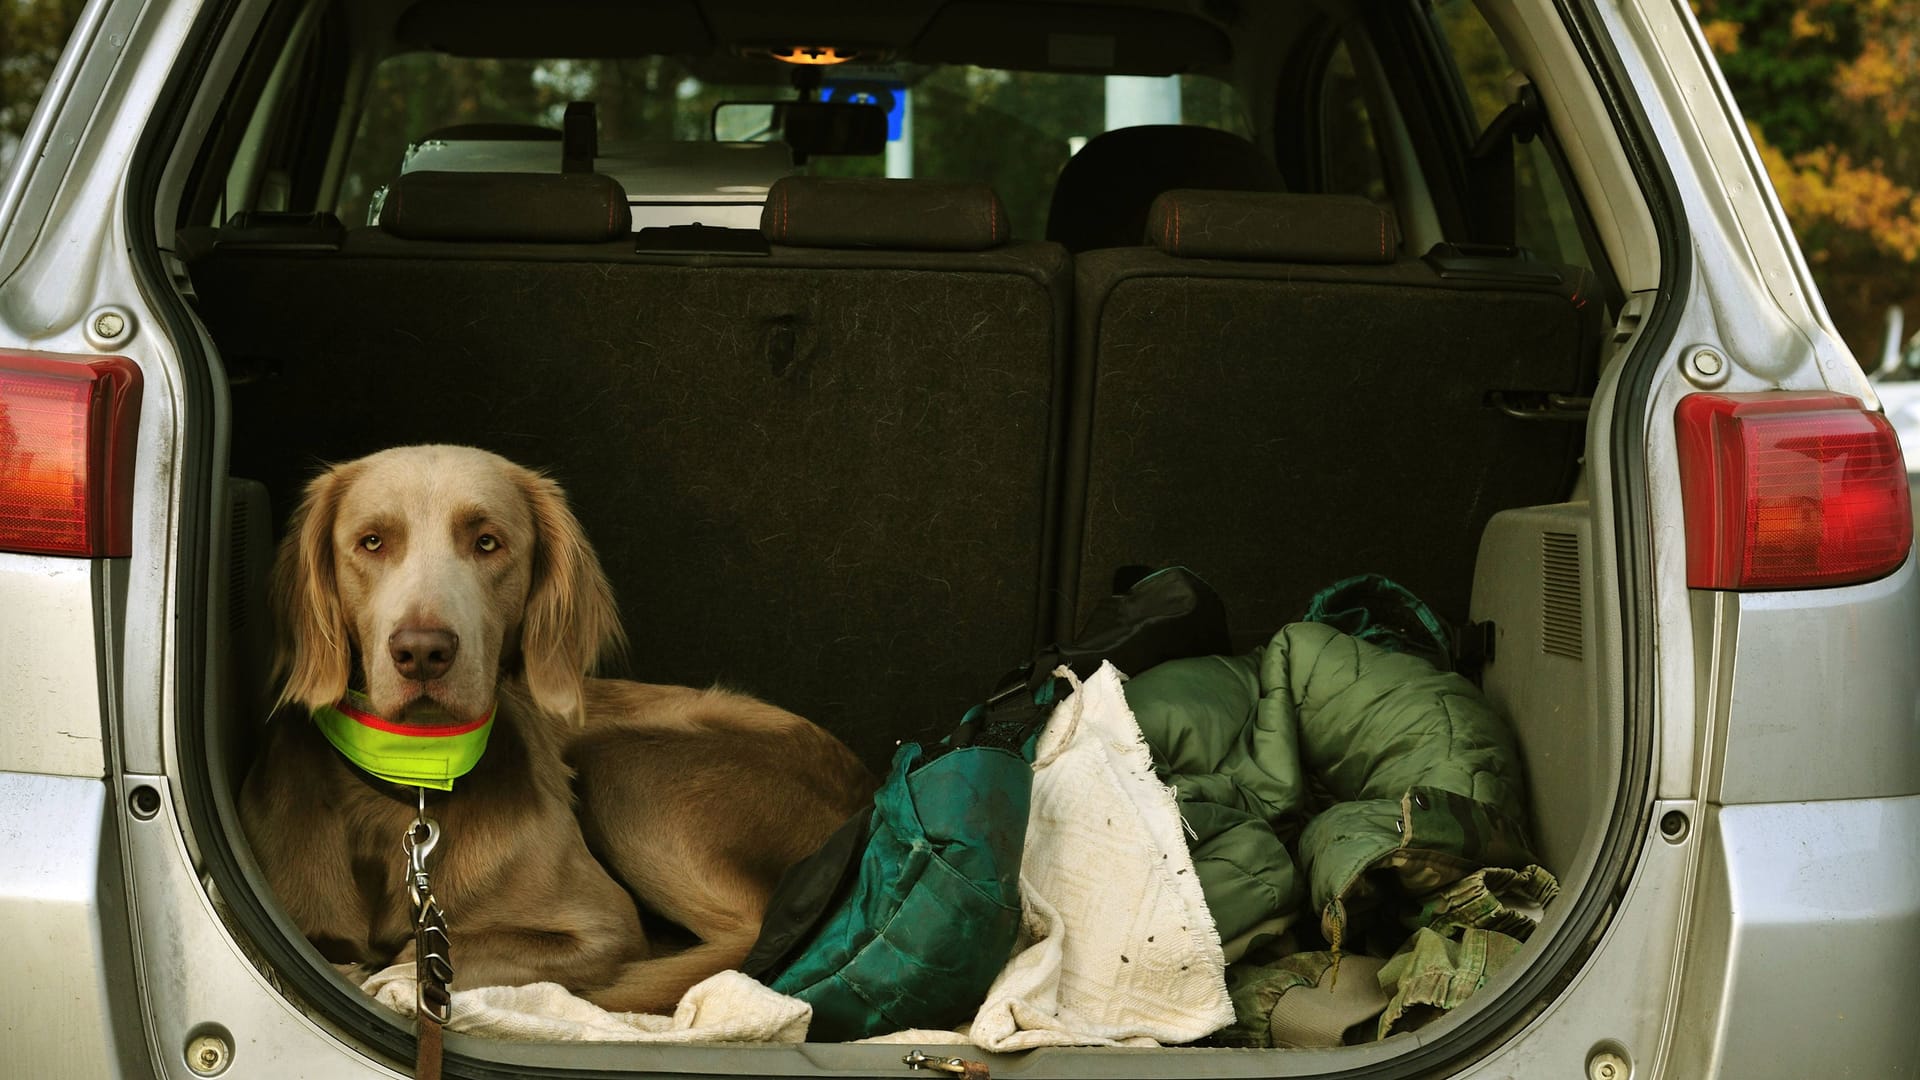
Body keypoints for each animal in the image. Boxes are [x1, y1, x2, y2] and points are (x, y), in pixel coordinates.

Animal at [236, 443, 879, 1006]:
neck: (410, 780)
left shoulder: (603, 929)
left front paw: (386, 971)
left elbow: (431, 955)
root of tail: (866, 789)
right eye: (371, 541)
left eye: (488, 542)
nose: (422, 651)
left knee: (741, 940)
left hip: (628, 767)